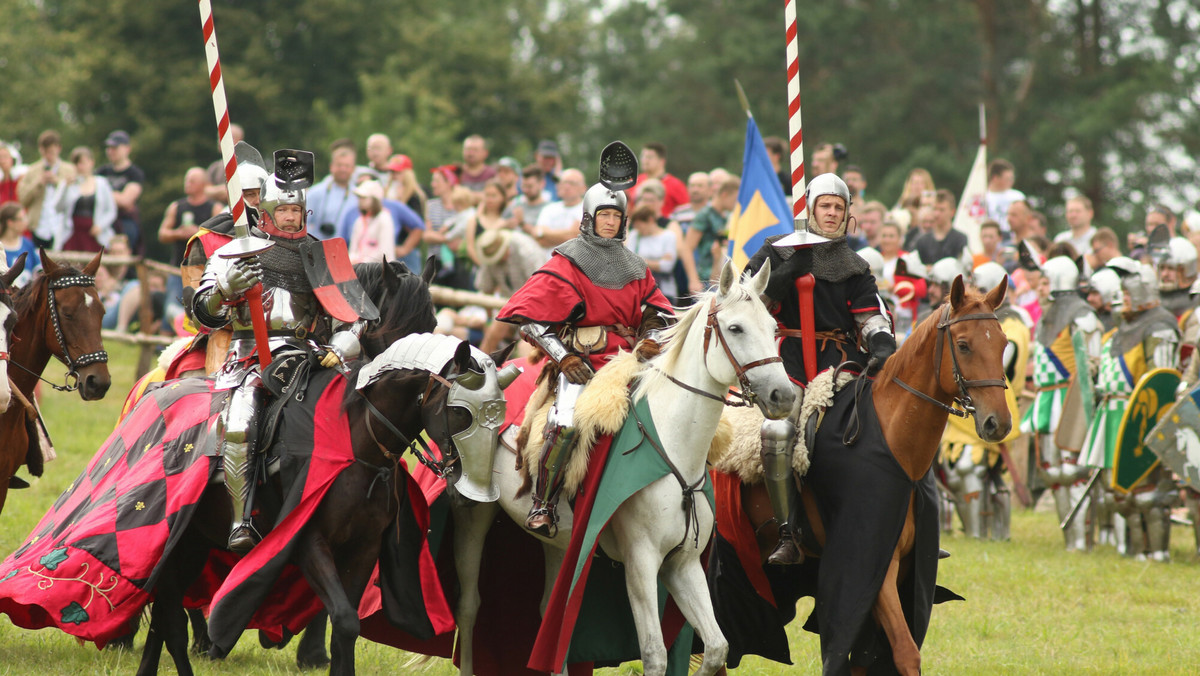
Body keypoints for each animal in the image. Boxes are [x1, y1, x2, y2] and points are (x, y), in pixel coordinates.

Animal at [451, 261, 796, 672]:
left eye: (774, 329)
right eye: (736, 328)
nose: (784, 395)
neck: (673, 444)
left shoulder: (683, 563)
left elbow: (716, 647)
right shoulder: (641, 562)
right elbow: (654, 654)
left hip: (560, 543)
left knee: (551, 613)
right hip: (474, 511)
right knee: (470, 606)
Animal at [724, 276, 1008, 676]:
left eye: (1002, 343)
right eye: (964, 345)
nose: (998, 423)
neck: (893, 443)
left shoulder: (901, 566)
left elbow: (867, 657)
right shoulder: (872, 567)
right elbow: (905, 651)